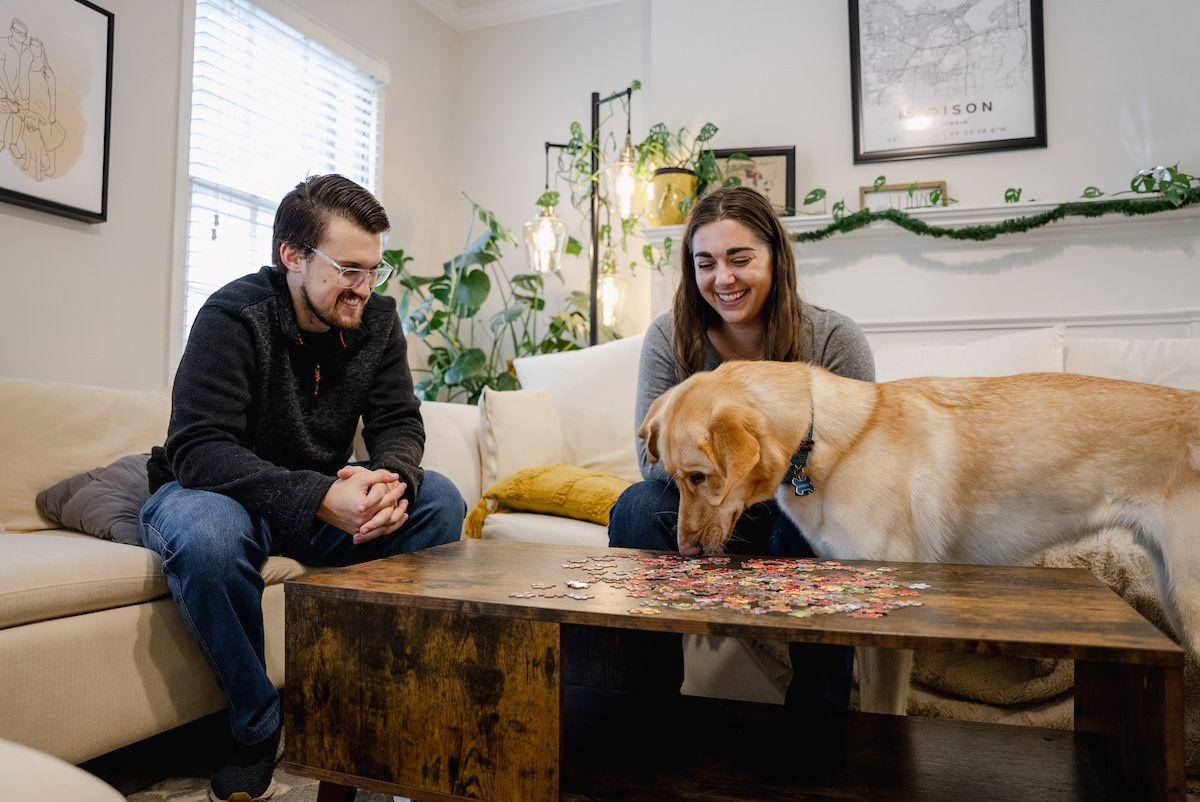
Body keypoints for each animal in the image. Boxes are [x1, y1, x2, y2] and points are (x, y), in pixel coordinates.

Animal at [638, 360, 1200, 710]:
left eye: (699, 477)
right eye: (673, 479)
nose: (684, 551)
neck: (822, 442)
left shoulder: (887, 633)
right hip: (1171, 594)